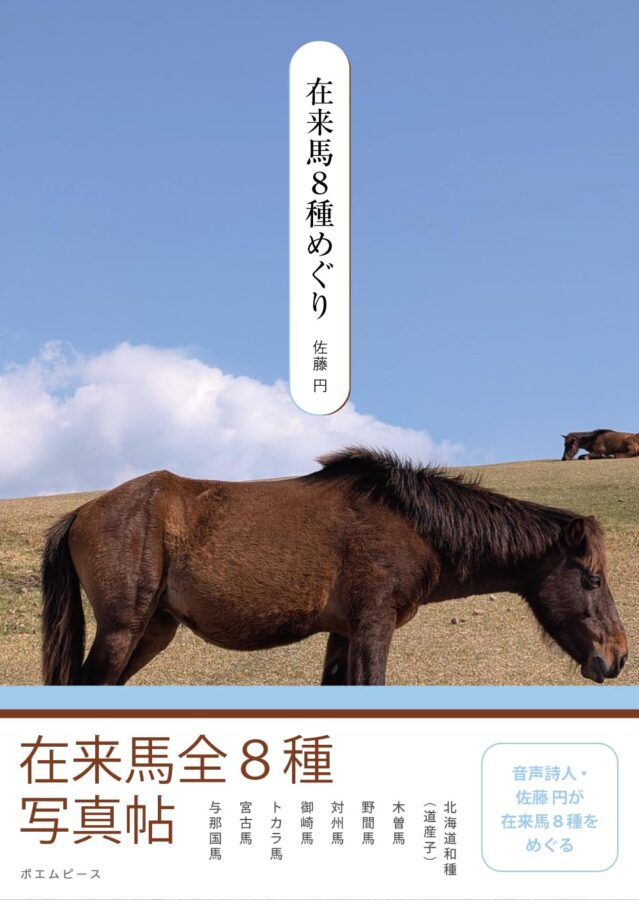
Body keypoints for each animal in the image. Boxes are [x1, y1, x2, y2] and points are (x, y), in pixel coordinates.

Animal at [41, 447, 628, 686]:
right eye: (592, 579)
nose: (618, 656)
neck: (410, 522)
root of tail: (82, 512)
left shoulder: (343, 633)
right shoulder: (373, 626)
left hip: (152, 630)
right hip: (122, 630)